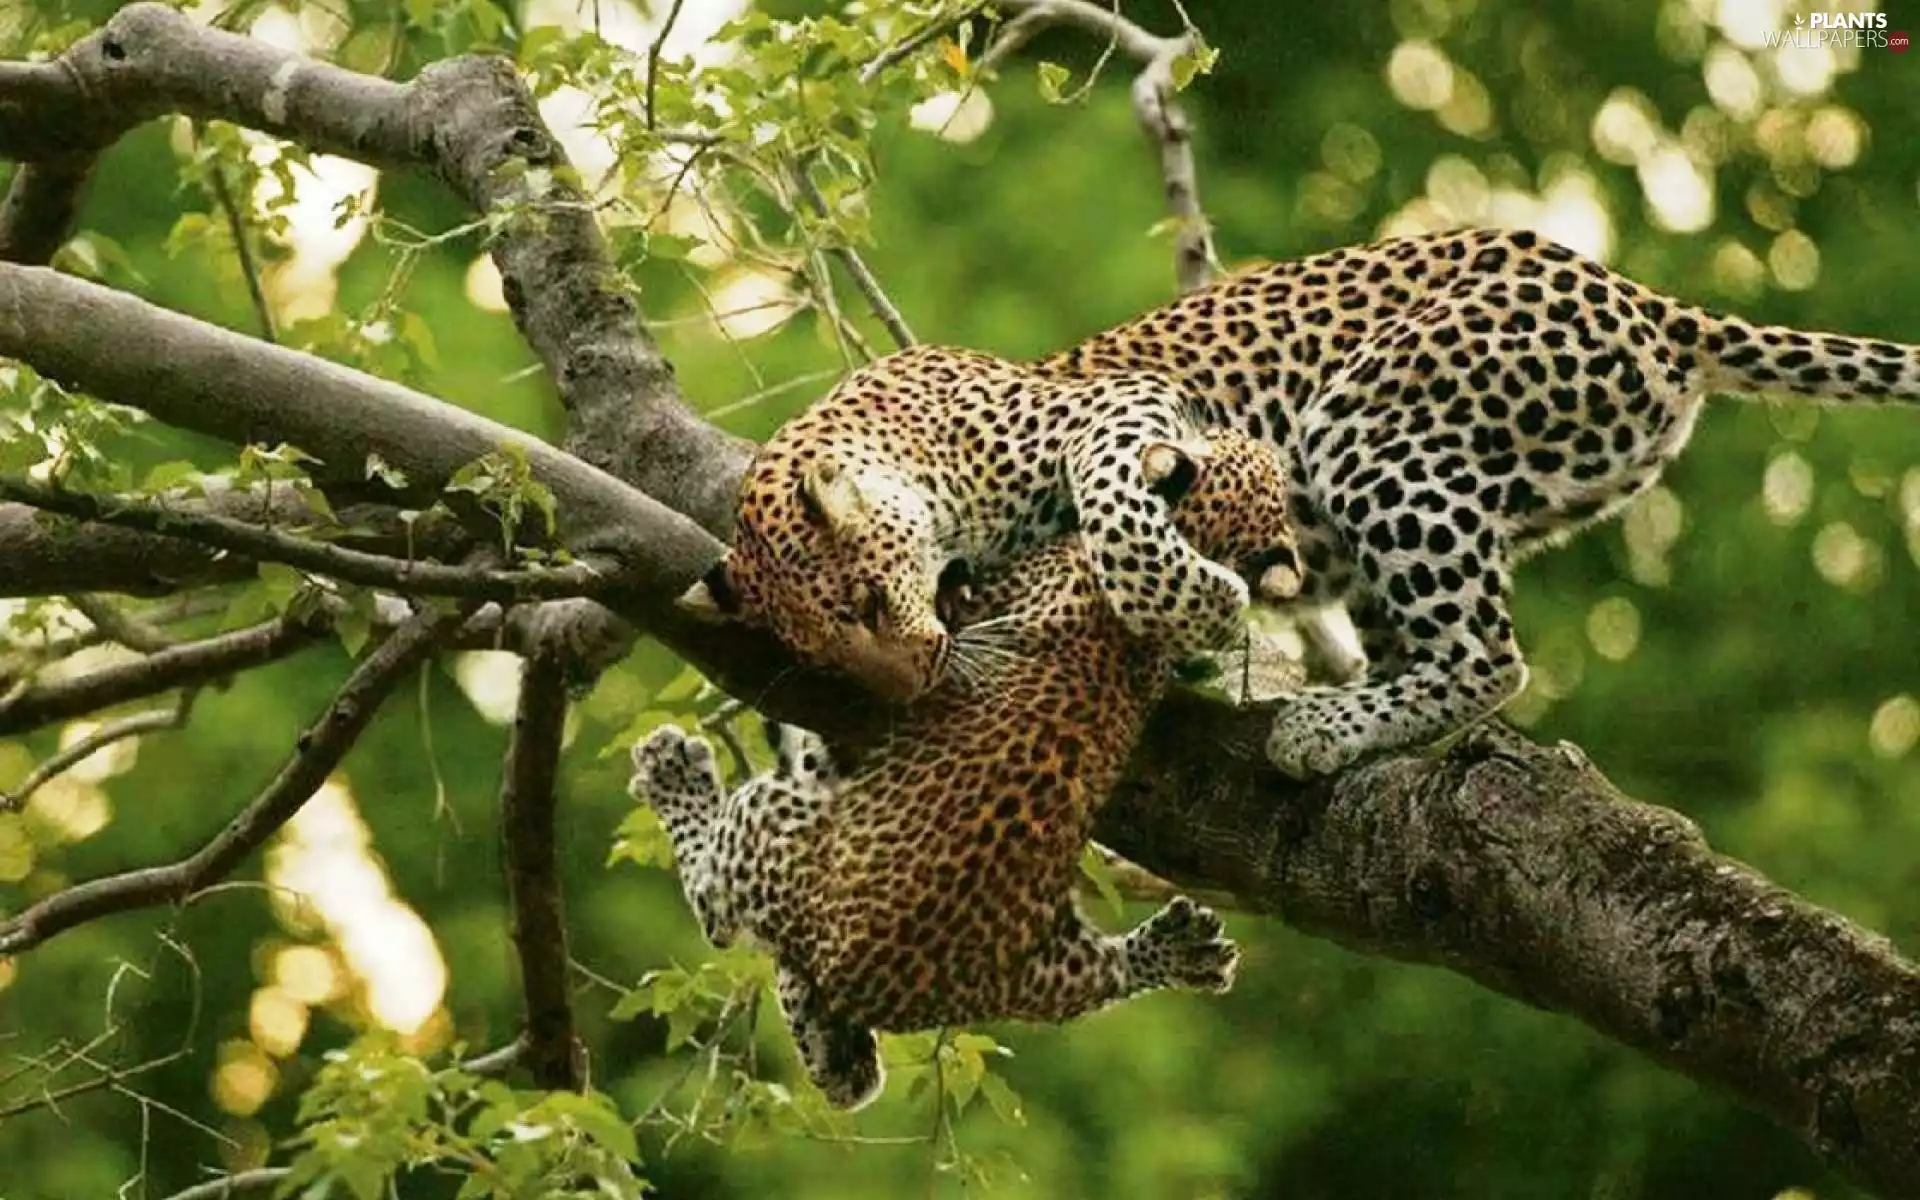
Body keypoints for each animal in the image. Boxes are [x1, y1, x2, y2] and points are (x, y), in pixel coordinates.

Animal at [630, 427, 1297, 1110]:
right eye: (1232, 448)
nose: (1238, 434)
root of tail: (860, 983)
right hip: (1046, 966)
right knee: (1093, 980)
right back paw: (1182, 948)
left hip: (768, 825)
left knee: (716, 906)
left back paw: (674, 770)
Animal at [690, 227, 1920, 778]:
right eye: (831, 651)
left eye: (861, 601)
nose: (902, 682)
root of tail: (1658, 307)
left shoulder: (1123, 412)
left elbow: (1116, 505)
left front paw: (1188, 601)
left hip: (1370, 428)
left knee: (1488, 653)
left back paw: (1323, 727)